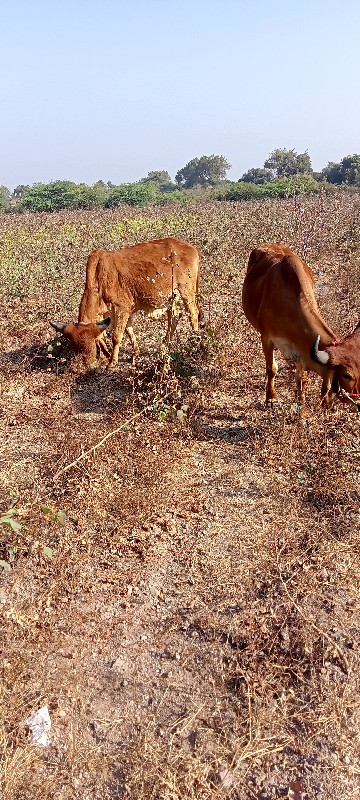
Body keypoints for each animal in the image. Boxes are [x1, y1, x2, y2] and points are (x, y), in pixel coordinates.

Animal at [50, 236, 201, 364]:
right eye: (75, 348)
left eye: (89, 346)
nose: (85, 365)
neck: (99, 282)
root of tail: (191, 248)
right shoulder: (124, 312)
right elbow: (128, 332)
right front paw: (135, 354)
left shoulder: (122, 308)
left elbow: (116, 336)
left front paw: (112, 362)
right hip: (170, 297)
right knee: (174, 316)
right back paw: (164, 346)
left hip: (186, 290)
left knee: (193, 314)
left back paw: (194, 341)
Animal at [242, 241, 360, 410]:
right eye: (346, 375)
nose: (357, 401)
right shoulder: (266, 338)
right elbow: (271, 368)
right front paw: (271, 398)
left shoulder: (300, 350)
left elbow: (302, 377)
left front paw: (301, 403)